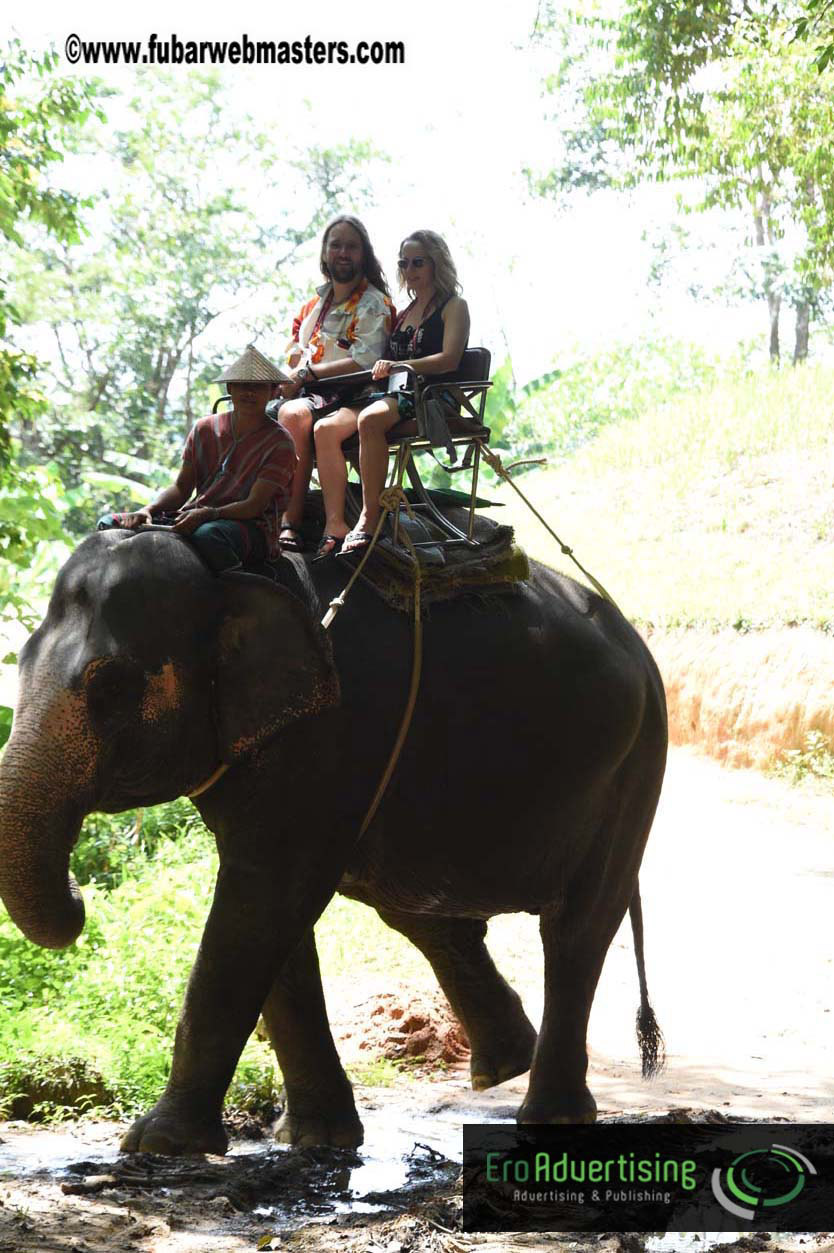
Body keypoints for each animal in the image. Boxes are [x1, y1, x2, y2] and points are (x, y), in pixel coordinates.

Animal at [0, 525, 667, 1156]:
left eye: (111, 685)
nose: (80, 893)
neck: (231, 571)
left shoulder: (335, 729)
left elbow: (263, 896)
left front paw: (157, 1145)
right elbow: (272, 911)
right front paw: (315, 1138)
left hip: (635, 764)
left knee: (577, 928)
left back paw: (550, 1112)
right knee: (419, 912)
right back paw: (503, 1065)